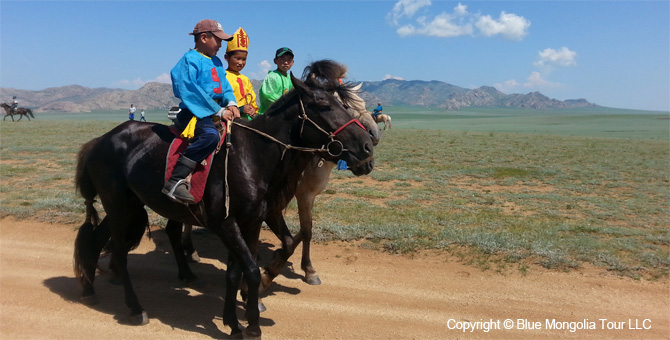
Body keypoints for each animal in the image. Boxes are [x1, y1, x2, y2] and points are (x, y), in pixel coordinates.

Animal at [75, 71, 378, 338]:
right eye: (325, 106)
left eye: (344, 105)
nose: (367, 146)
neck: (252, 156)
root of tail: (99, 140)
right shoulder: (227, 224)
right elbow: (253, 270)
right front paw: (253, 324)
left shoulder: (252, 222)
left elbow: (237, 272)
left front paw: (234, 322)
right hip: (117, 205)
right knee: (120, 252)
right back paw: (135, 308)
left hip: (129, 206)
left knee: (102, 239)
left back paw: (89, 288)